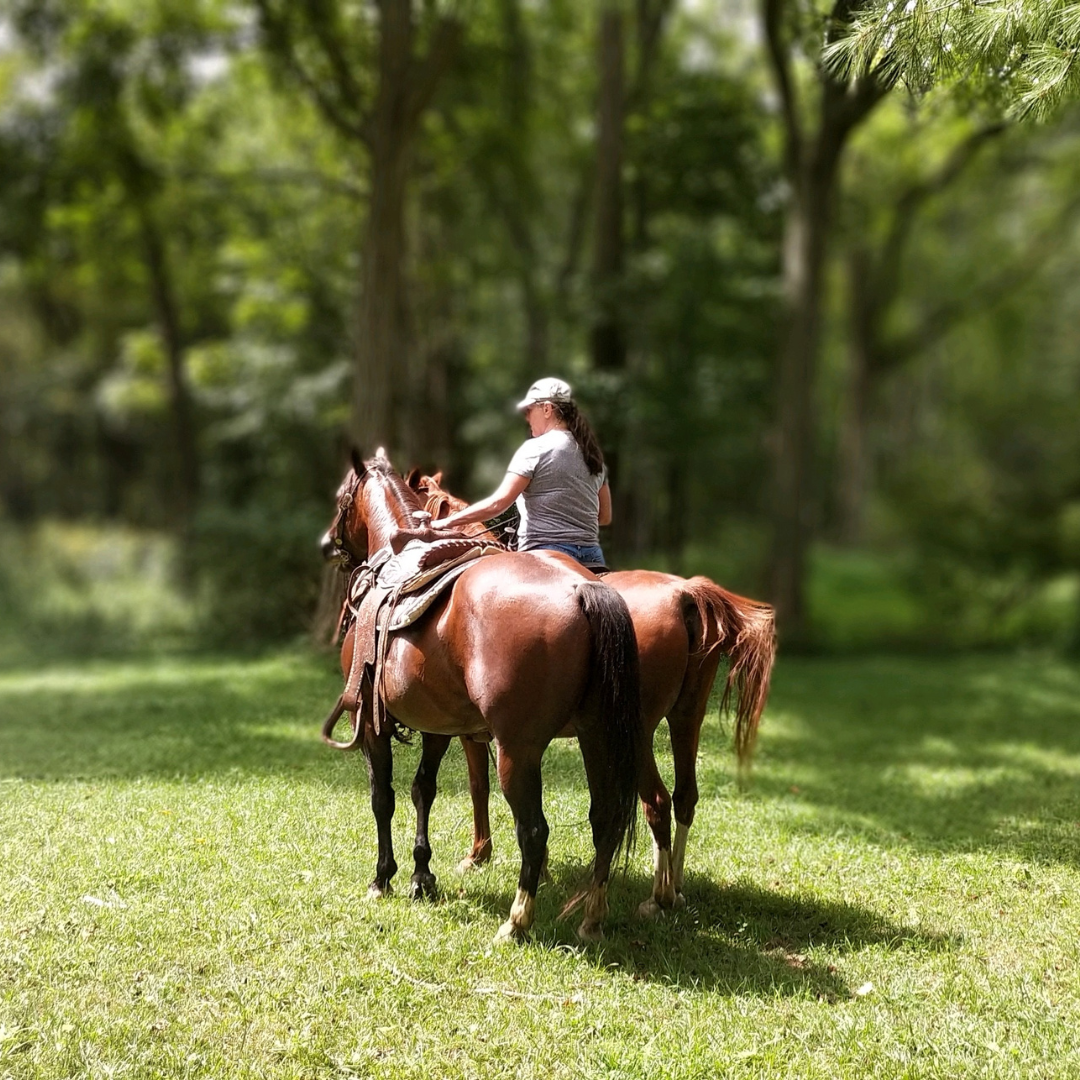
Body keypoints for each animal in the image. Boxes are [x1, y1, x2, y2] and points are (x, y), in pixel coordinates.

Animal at [319, 449, 644, 942]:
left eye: (342, 497)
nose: (326, 544)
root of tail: (581, 588)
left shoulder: (372, 722)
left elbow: (384, 797)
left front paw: (383, 877)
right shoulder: (438, 725)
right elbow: (423, 790)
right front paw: (422, 876)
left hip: (518, 749)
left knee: (534, 830)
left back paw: (517, 921)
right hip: (597, 736)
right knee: (605, 817)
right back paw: (592, 916)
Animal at [409, 470, 776, 917]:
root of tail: (685, 595)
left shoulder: (476, 731)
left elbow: (479, 784)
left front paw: (480, 855)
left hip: (636, 732)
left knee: (655, 802)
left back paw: (657, 896)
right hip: (687, 717)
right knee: (685, 795)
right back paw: (674, 886)